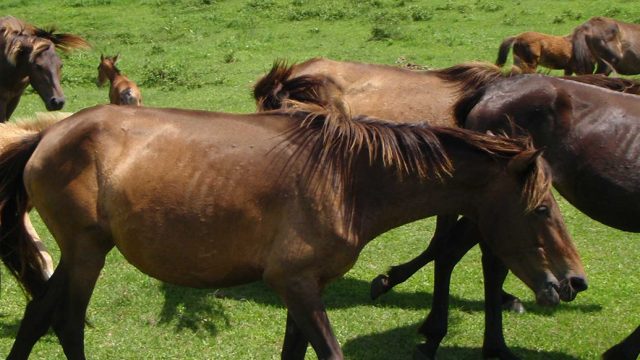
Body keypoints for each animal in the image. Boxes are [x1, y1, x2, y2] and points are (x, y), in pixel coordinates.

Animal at [0, 102, 584, 358]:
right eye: (542, 209)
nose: (573, 281)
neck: (346, 179)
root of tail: (47, 135)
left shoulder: (304, 288)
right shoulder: (296, 285)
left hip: (81, 251)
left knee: (38, 315)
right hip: (87, 251)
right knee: (66, 321)